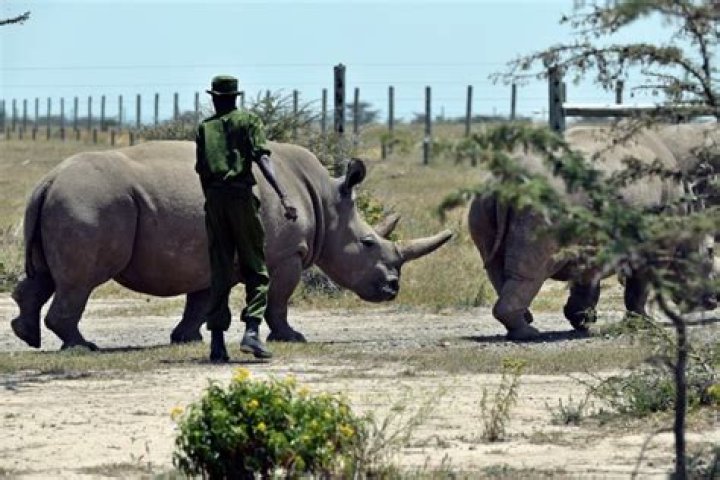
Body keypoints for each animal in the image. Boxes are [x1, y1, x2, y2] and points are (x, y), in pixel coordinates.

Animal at [10, 141, 452, 350]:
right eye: (368, 243)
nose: (392, 288)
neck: (327, 201)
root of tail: (47, 180)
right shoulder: (285, 254)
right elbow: (279, 299)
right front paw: (291, 337)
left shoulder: (203, 252)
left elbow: (199, 298)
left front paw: (186, 338)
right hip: (89, 202)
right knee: (80, 282)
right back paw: (82, 345)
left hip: (64, 200)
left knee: (44, 275)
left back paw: (27, 335)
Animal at [469, 122, 718, 340]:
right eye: (709, 251)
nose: (715, 299)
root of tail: (506, 179)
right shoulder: (654, 247)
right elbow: (638, 287)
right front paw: (645, 323)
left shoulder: (590, 248)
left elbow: (587, 283)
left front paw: (582, 322)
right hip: (539, 208)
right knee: (532, 272)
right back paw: (528, 334)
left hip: (483, 201)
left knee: (495, 268)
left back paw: (526, 322)